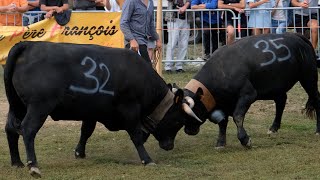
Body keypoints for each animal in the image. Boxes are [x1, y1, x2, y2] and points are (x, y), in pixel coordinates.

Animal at [3, 41, 192, 178]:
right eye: (178, 121)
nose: (169, 146)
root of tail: (29, 44)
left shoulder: (91, 112)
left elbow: (86, 131)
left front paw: (79, 152)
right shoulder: (130, 109)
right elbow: (137, 135)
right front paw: (147, 159)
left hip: (17, 106)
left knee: (11, 129)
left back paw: (17, 162)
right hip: (38, 107)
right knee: (28, 129)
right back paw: (33, 165)